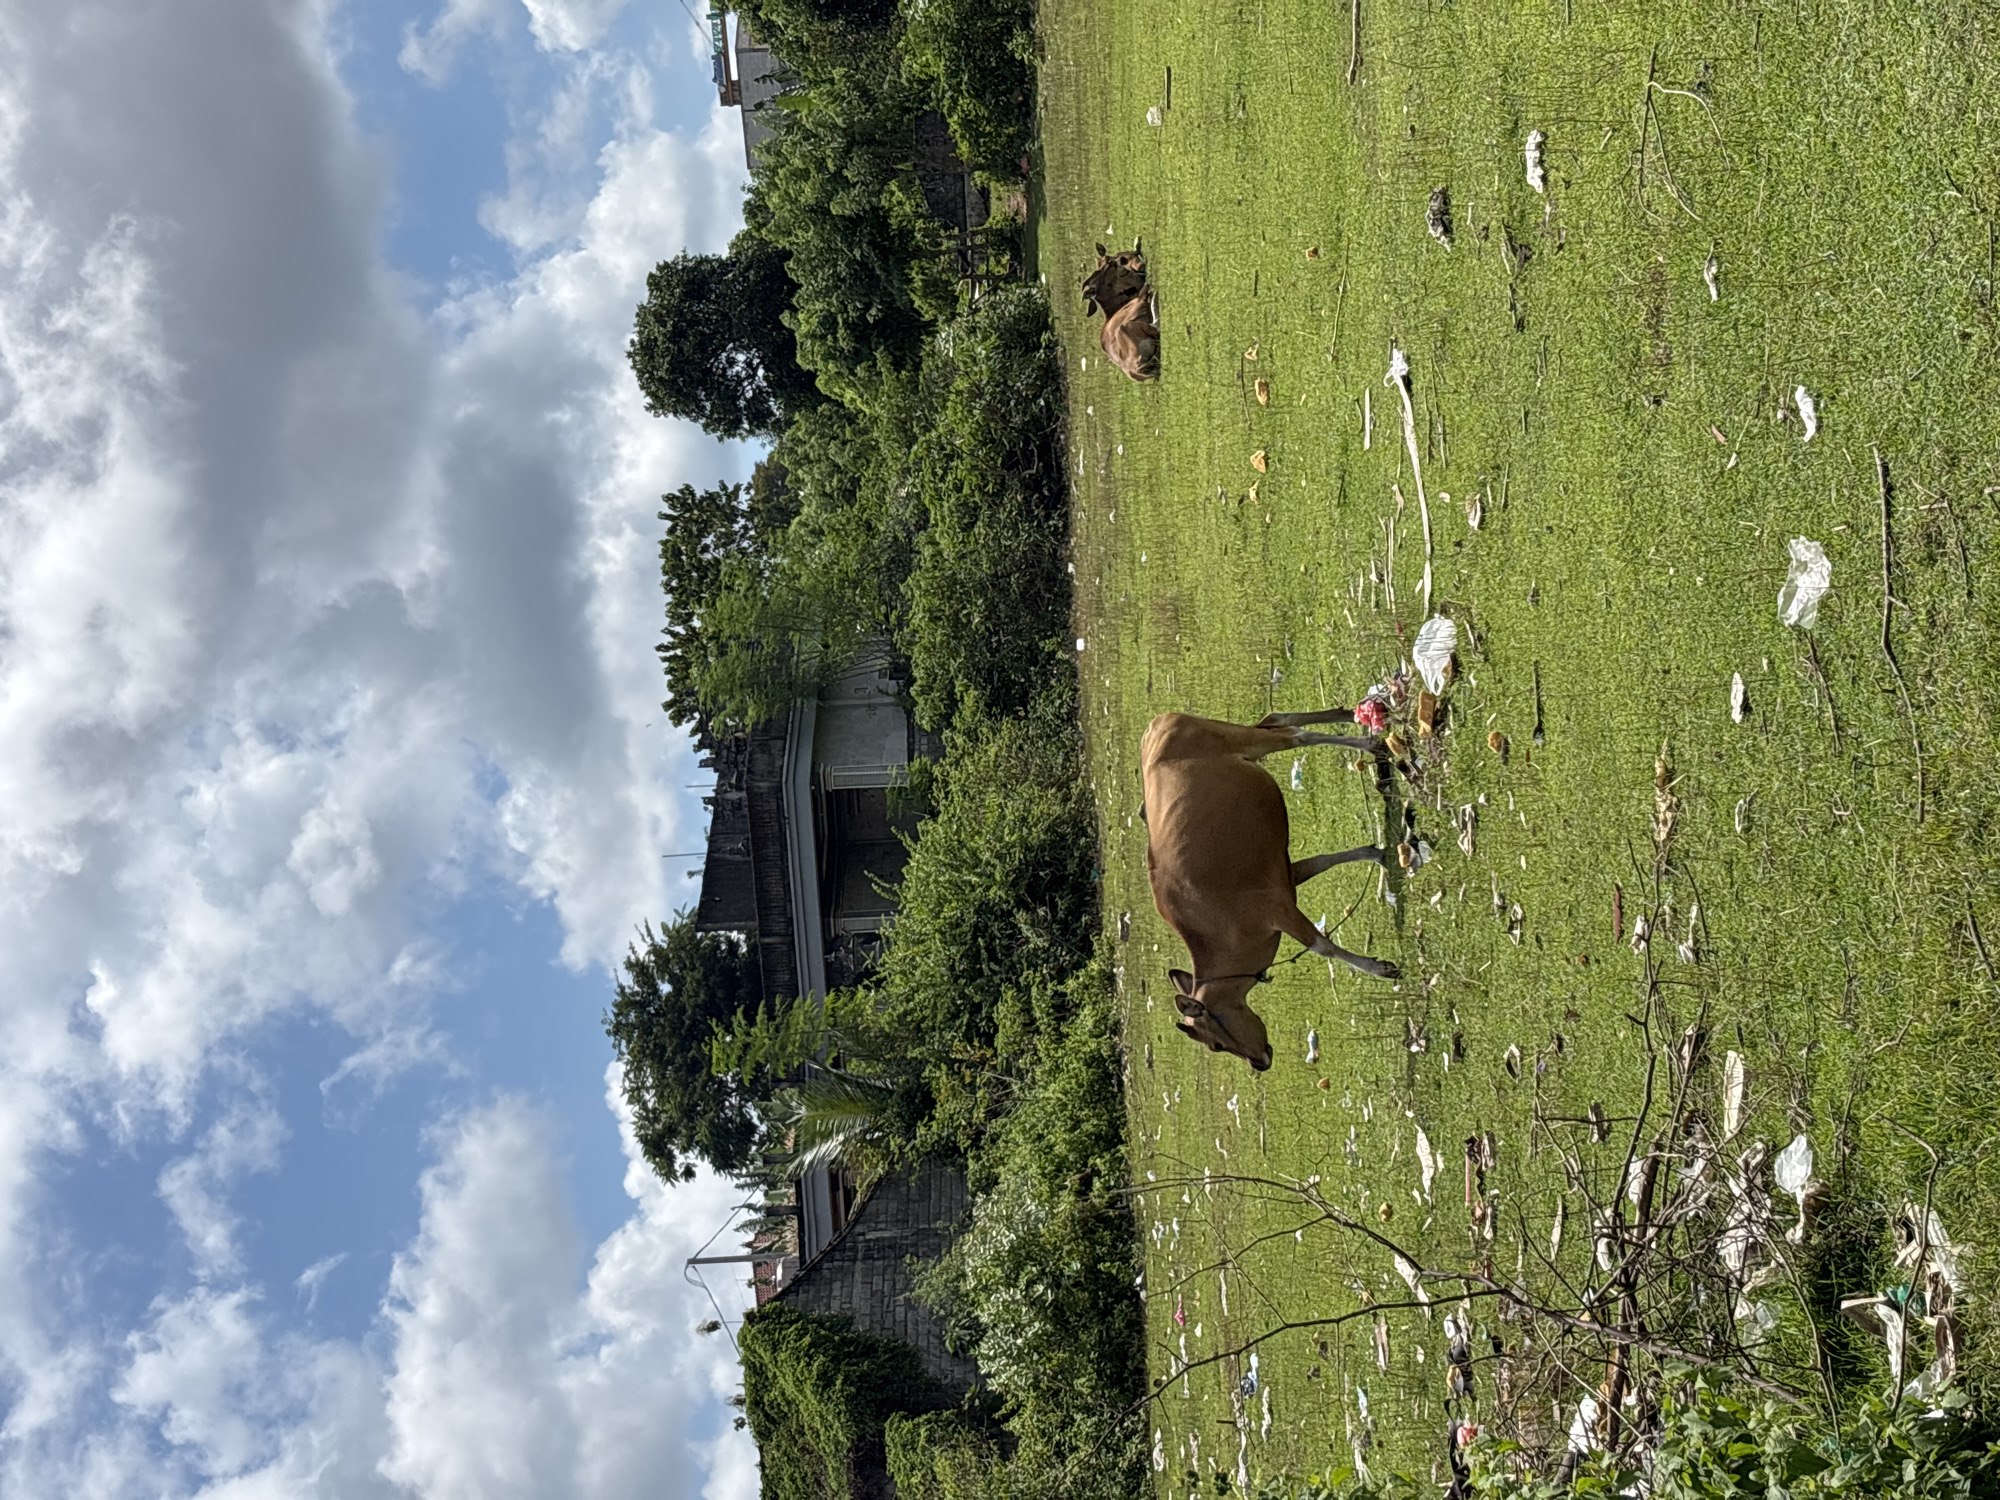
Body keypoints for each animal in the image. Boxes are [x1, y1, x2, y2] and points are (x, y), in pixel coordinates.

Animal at [1141, 709, 1401, 1070]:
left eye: (1216, 1045)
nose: (1258, 1063)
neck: (1216, 932)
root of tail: (1158, 723)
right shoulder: (1285, 878)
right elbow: (1325, 860)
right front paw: (1378, 853)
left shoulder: (1277, 909)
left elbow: (1322, 946)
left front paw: (1380, 968)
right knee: (1277, 717)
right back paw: (1353, 717)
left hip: (1249, 740)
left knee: (1294, 735)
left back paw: (1369, 743)